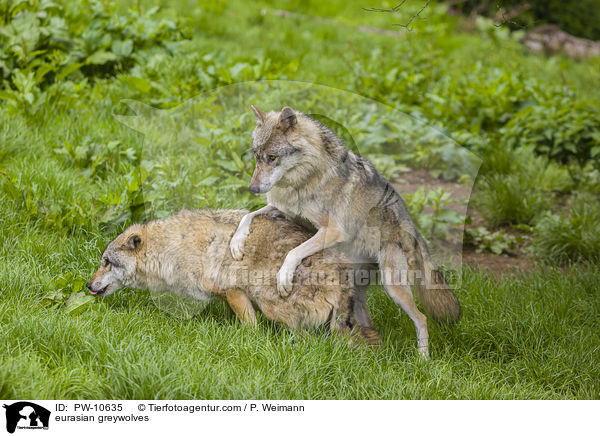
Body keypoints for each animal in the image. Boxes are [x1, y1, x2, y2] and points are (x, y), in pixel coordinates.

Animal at [86, 209, 380, 346]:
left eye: (106, 263)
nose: (87, 284)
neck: (170, 247)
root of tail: (342, 277)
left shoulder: (233, 291)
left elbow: (250, 327)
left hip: (274, 308)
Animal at [229, 105, 460, 358]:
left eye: (273, 157)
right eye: (256, 156)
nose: (252, 188)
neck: (306, 177)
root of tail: (415, 232)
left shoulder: (332, 231)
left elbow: (294, 252)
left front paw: (283, 278)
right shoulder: (284, 210)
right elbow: (248, 216)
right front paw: (236, 243)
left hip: (394, 287)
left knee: (422, 318)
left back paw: (423, 359)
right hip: (357, 290)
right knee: (364, 319)